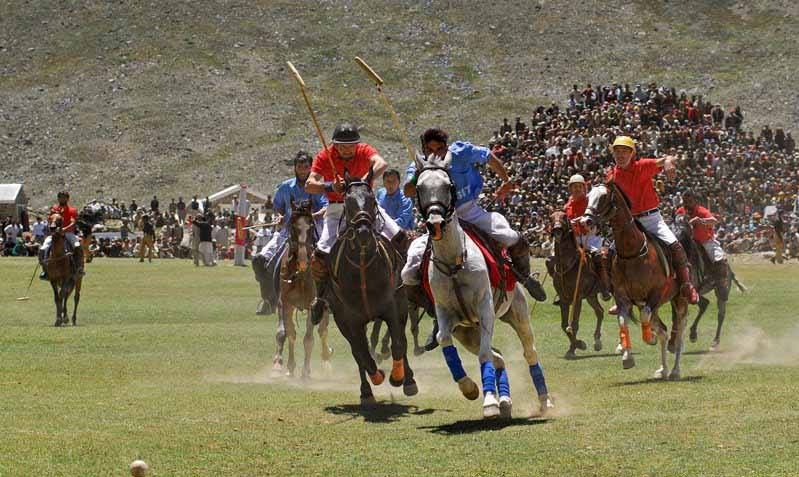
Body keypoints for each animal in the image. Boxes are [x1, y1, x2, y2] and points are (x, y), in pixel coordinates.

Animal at [270, 199, 330, 378]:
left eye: (311, 225)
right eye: (292, 225)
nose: (304, 259)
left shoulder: (313, 305)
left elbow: (308, 339)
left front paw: (305, 372)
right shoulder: (286, 304)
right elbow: (289, 333)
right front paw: (289, 367)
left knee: (323, 331)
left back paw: (326, 361)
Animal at [410, 154, 552, 418]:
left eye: (449, 185)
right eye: (419, 187)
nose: (435, 223)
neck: (453, 263)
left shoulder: (485, 308)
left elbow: (485, 353)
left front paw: (489, 402)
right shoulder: (445, 313)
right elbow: (444, 339)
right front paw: (470, 388)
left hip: (517, 312)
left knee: (528, 352)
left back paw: (544, 401)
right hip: (467, 332)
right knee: (498, 357)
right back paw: (505, 401)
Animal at [552, 210, 608, 356]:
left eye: (564, 217)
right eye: (551, 218)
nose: (557, 229)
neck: (566, 265)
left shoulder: (577, 298)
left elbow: (574, 324)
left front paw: (575, 348)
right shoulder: (564, 299)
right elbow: (564, 325)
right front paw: (577, 345)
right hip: (591, 296)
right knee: (600, 312)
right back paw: (597, 342)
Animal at [584, 182, 692, 380]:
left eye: (603, 197)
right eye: (588, 197)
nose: (585, 220)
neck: (632, 252)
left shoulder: (655, 293)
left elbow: (645, 320)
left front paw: (649, 338)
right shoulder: (623, 298)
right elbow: (622, 322)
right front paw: (627, 358)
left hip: (680, 299)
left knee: (679, 332)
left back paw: (674, 370)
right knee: (664, 330)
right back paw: (662, 370)